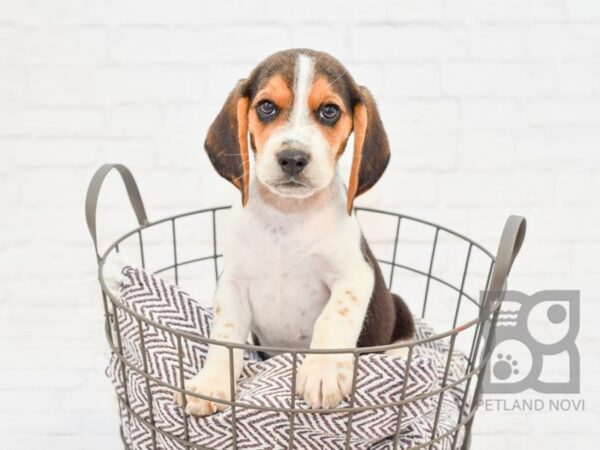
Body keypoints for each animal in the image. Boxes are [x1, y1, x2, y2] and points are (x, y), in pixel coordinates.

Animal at [176, 48, 414, 414]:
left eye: (329, 111)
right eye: (266, 107)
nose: (292, 158)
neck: (287, 215)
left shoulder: (354, 276)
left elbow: (332, 319)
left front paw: (322, 372)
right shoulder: (233, 284)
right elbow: (224, 336)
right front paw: (209, 384)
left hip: (400, 312)